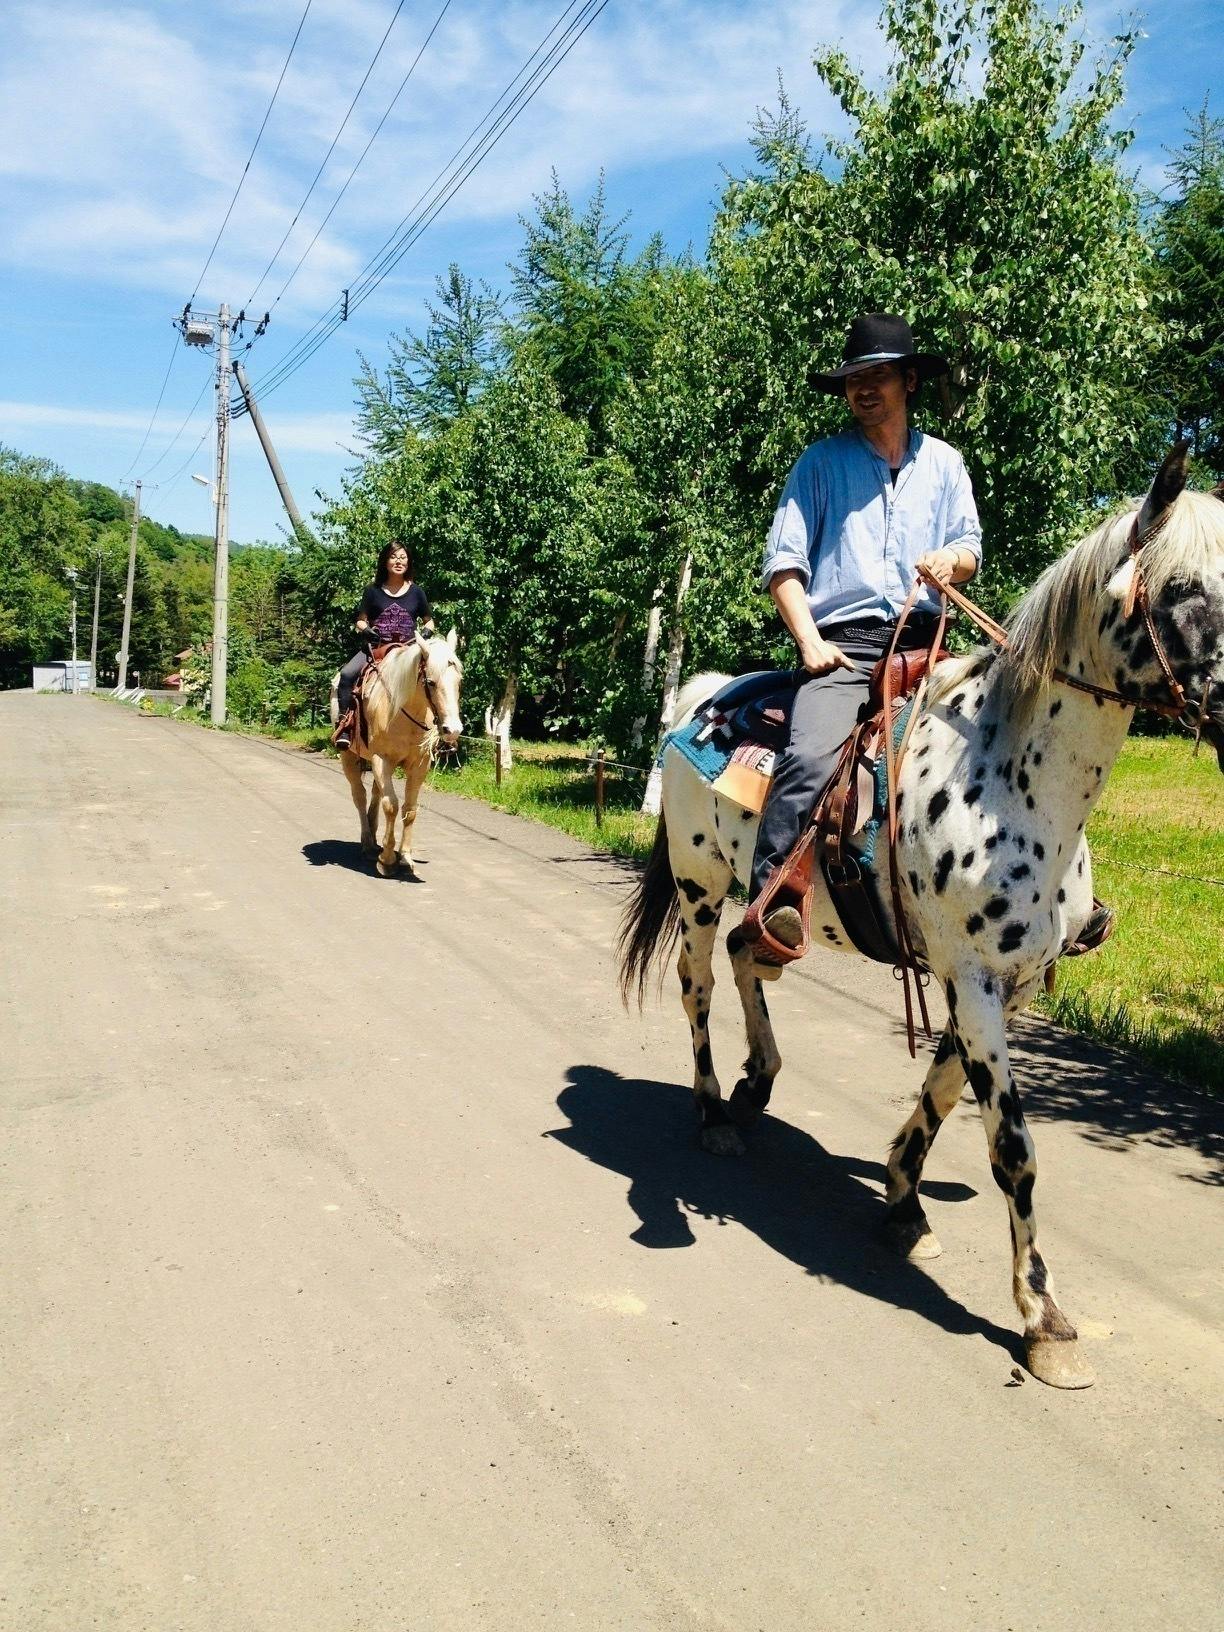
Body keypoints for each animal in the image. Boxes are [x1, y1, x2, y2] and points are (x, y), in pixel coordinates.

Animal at [331, 623, 463, 881]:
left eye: (459, 680)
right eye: (430, 682)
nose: (452, 730)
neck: (404, 711)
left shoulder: (419, 765)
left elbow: (409, 809)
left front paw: (405, 858)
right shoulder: (381, 760)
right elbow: (391, 805)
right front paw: (387, 860)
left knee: (374, 793)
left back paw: (374, 838)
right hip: (349, 757)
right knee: (360, 795)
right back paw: (368, 843)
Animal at [623, 450, 1224, 1390]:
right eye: (1184, 587)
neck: (1014, 781)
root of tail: (699, 696)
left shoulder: (1003, 983)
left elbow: (942, 1092)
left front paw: (904, 1202)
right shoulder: (972, 979)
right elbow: (1011, 1145)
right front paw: (1045, 1319)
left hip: (765, 902)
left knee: (753, 956)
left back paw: (760, 1079)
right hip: (696, 886)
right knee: (697, 987)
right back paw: (717, 1112)